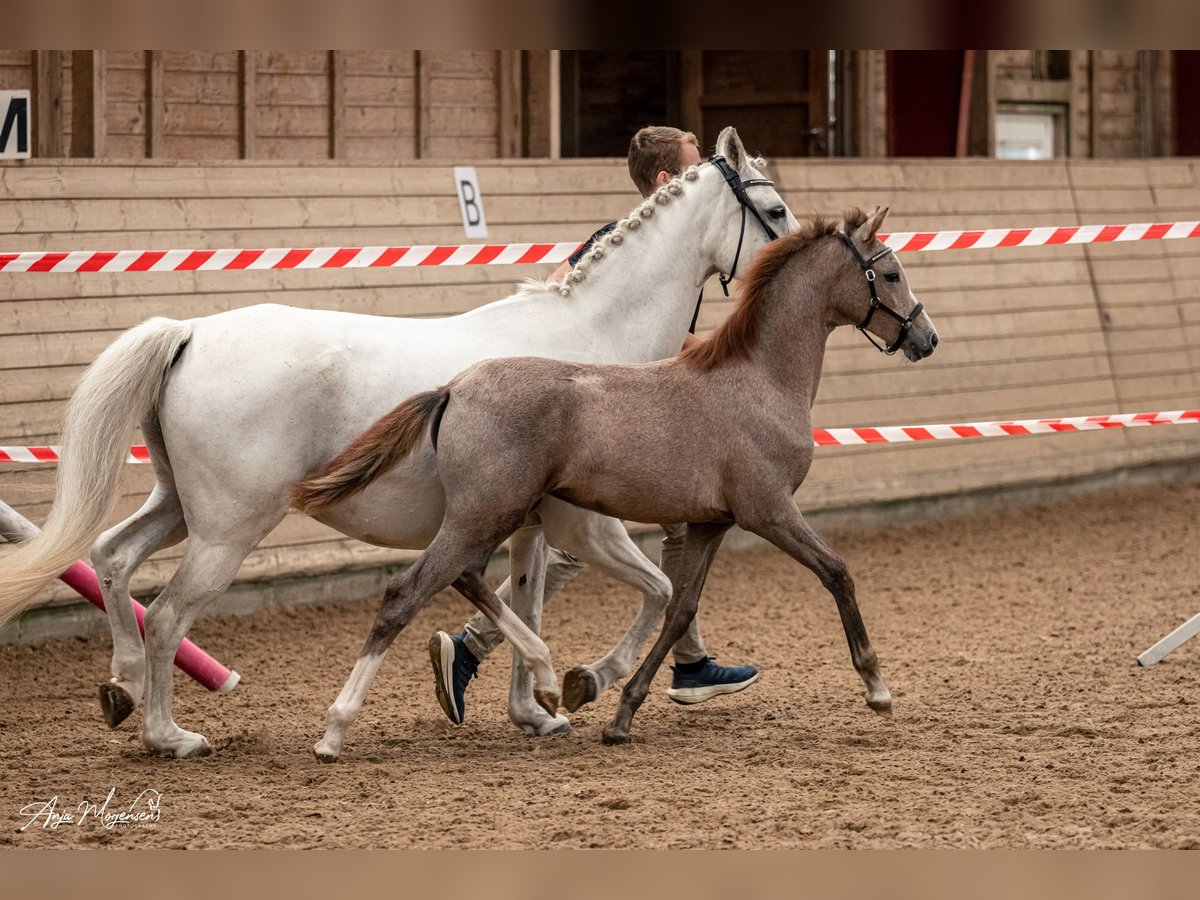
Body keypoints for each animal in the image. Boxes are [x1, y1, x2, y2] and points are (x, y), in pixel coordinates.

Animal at [0, 128, 796, 763]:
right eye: (776, 211)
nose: (799, 253)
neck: (589, 347)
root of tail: (190, 333)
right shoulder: (565, 522)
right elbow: (633, 592)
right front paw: (570, 688)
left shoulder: (525, 527)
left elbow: (527, 603)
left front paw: (534, 710)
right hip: (228, 529)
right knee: (166, 613)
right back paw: (171, 735)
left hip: (179, 507)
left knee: (112, 557)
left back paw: (122, 689)